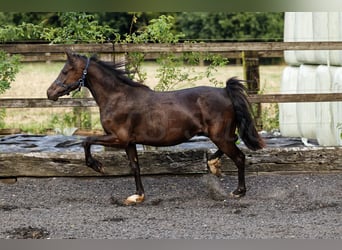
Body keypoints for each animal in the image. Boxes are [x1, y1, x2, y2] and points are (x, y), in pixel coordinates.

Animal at [46, 51, 264, 205]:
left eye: (65, 71)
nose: (50, 93)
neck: (117, 97)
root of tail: (225, 92)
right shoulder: (129, 142)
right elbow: (135, 167)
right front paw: (138, 196)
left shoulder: (118, 138)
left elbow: (86, 141)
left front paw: (97, 166)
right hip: (220, 135)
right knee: (233, 144)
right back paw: (212, 164)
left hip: (219, 136)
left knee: (239, 157)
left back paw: (238, 191)